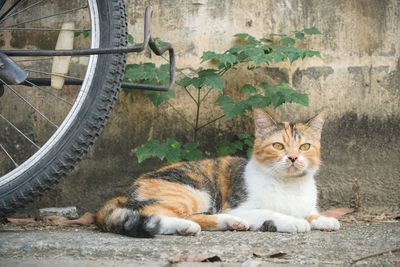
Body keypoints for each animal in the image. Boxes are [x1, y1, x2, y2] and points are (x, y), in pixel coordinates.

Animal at [95, 109, 340, 239]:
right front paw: (295, 222)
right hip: (194, 191)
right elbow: (273, 212)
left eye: (305, 147)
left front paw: (324, 219)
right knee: (155, 213)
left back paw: (232, 223)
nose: (293, 158)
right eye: (278, 146)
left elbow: (310, 213)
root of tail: (122, 193)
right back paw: (185, 227)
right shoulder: (239, 206)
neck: (289, 185)